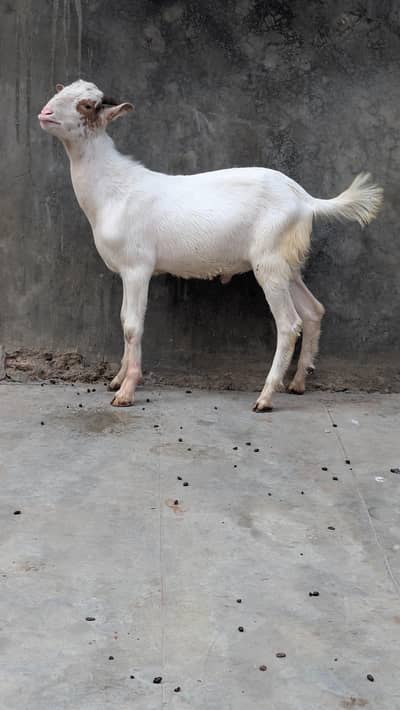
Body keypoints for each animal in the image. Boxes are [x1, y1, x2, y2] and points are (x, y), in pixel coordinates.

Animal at [38, 80, 383, 410]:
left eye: (86, 105)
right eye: (62, 91)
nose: (45, 113)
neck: (113, 189)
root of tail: (306, 200)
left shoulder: (138, 267)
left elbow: (132, 326)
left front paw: (126, 391)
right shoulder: (125, 270)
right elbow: (123, 319)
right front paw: (117, 378)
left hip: (269, 262)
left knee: (289, 324)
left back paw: (266, 397)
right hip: (287, 263)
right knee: (313, 311)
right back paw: (298, 382)